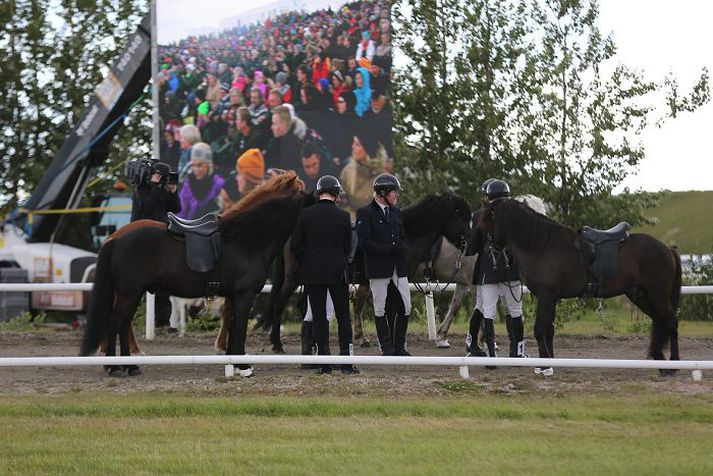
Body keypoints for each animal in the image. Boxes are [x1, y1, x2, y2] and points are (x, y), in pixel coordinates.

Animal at [80, 173, 308, 378]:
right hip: (130, 293)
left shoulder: (233, 296)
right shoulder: (244, 295)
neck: (242, 237)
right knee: (115, 323)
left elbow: (232, 326)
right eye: (303, 193)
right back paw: (115, 368)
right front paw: (243, 367)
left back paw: (130, 366)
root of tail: (115, 238)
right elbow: (240, 328)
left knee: (122, 324)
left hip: (128, 294)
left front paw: (233, 363)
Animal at [249, 192, 472, 354]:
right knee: (279, 302)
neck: (406, 235)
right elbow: (390, 311)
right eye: (459, 215)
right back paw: (277, 344)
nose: (471, 244)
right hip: (293, 278)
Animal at [482, 196, 680, 372]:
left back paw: (673, 364)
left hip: (658, 294)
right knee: (660, 321)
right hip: (639, 294)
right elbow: (549, 329)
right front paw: (549, 362)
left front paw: (545, 365)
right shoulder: (550, 298)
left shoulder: (547, 295)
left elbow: (540, 328)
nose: (487, 249)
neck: (542, 246)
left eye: (489, 218)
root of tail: (667, 248)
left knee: (670, 322)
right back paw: (661, 362)